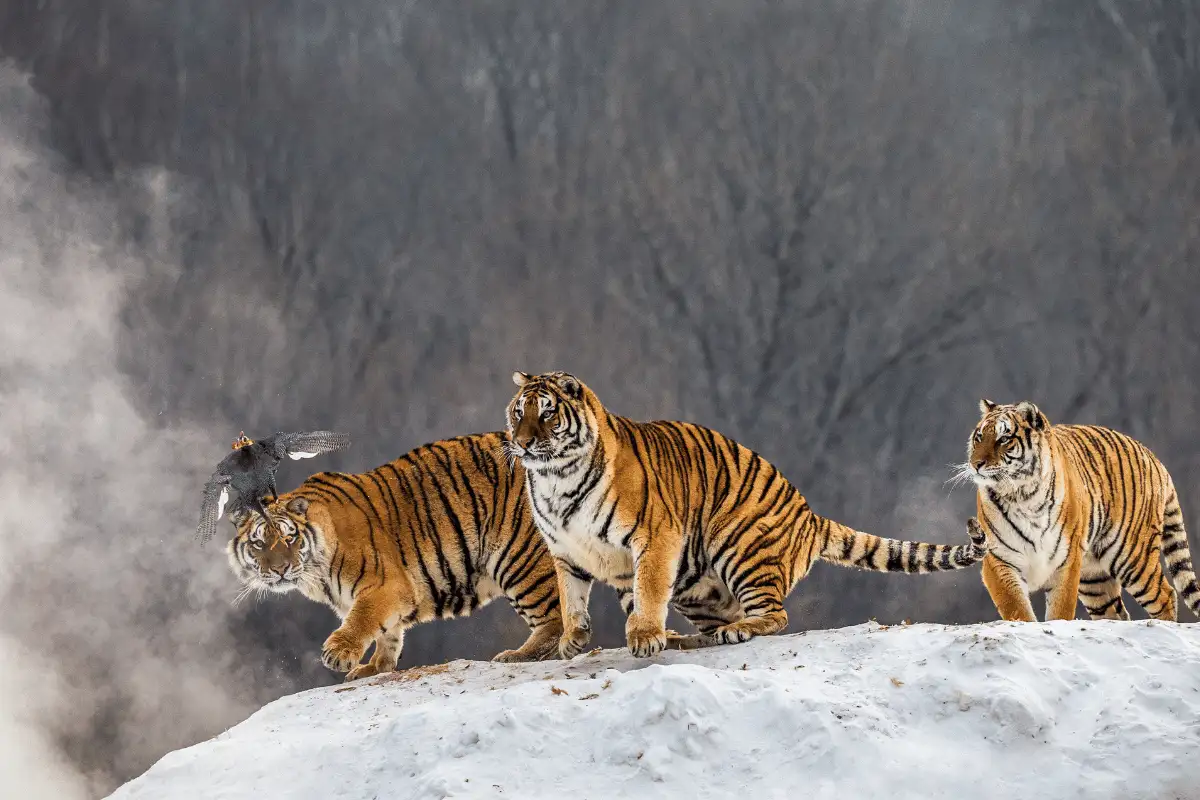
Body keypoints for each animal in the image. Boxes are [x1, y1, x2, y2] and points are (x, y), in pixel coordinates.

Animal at [228, 431, 576, 681]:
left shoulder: (386, 585)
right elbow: (387, 630)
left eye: (289, 538)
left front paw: (339, 653)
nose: (281, 569)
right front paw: (376, 666)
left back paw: (517, 655)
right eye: (259, 543)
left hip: (519, 558)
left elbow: (363, 617)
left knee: (554, 616)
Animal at [501, 369, 988, 657]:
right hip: (698, 588)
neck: (556, 478)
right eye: (518, 412)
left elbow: (648, 591)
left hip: (738, 544)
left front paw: (645, 636)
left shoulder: (655, 538)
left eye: (547, 414)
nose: (522, 442)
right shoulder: (566, 551)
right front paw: (573, 640)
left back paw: (726, 634)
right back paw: (692, 639)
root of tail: (810, 514)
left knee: (775, 615)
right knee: (730, 617)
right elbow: (571, 598)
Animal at [964, 398, 1200, 623]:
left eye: (1004, 439)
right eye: (979, 437)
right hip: (1094, 578)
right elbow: (1016, 609)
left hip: (1132, 556)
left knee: (1164, 595)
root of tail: (1153, 457)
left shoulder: (1065, 561)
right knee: (1114, 612)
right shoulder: (999, 559)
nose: (976, 464)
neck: (1023, 494)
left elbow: (1060, 610)